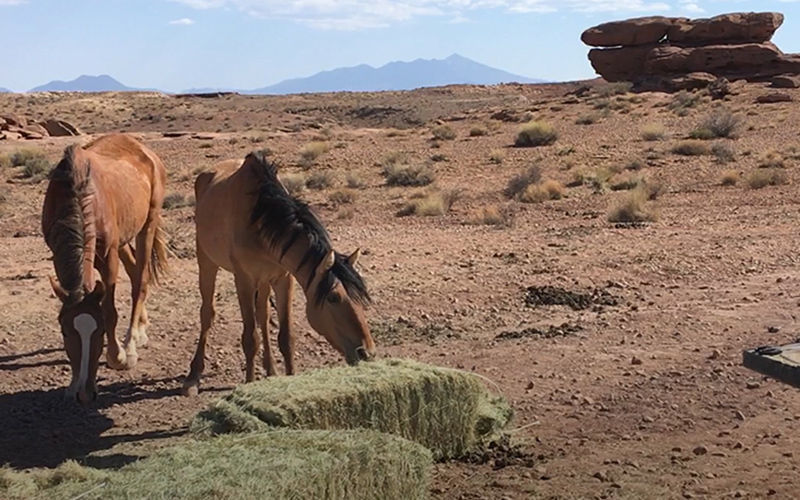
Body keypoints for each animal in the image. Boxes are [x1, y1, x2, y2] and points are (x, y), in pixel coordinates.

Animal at [41, 133, 168, 403]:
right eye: (65, 332)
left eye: (99, 333)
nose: (84, 393)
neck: (79, 192)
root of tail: (145, 151)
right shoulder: (58, 254)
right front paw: (72, 384)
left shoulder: (109, 256)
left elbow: (110, 310)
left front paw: (118, 356)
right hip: (124, 238)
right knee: (133, 270)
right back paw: (140, 331)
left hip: (147, 225)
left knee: (140, 279)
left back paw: (131, 343)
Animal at [182, 151, 375, 396]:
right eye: (333, 297)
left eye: (359, 296)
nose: (366, 352)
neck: (261, 220)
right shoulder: (244, 280)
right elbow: (250, 338)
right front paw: (249, 383)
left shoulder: (284, 279)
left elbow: (285, 337)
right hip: (206, 261)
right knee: (207, 313)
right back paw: (193, 376)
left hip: (264, 281)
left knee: (263, 315)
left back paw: (271, 369)